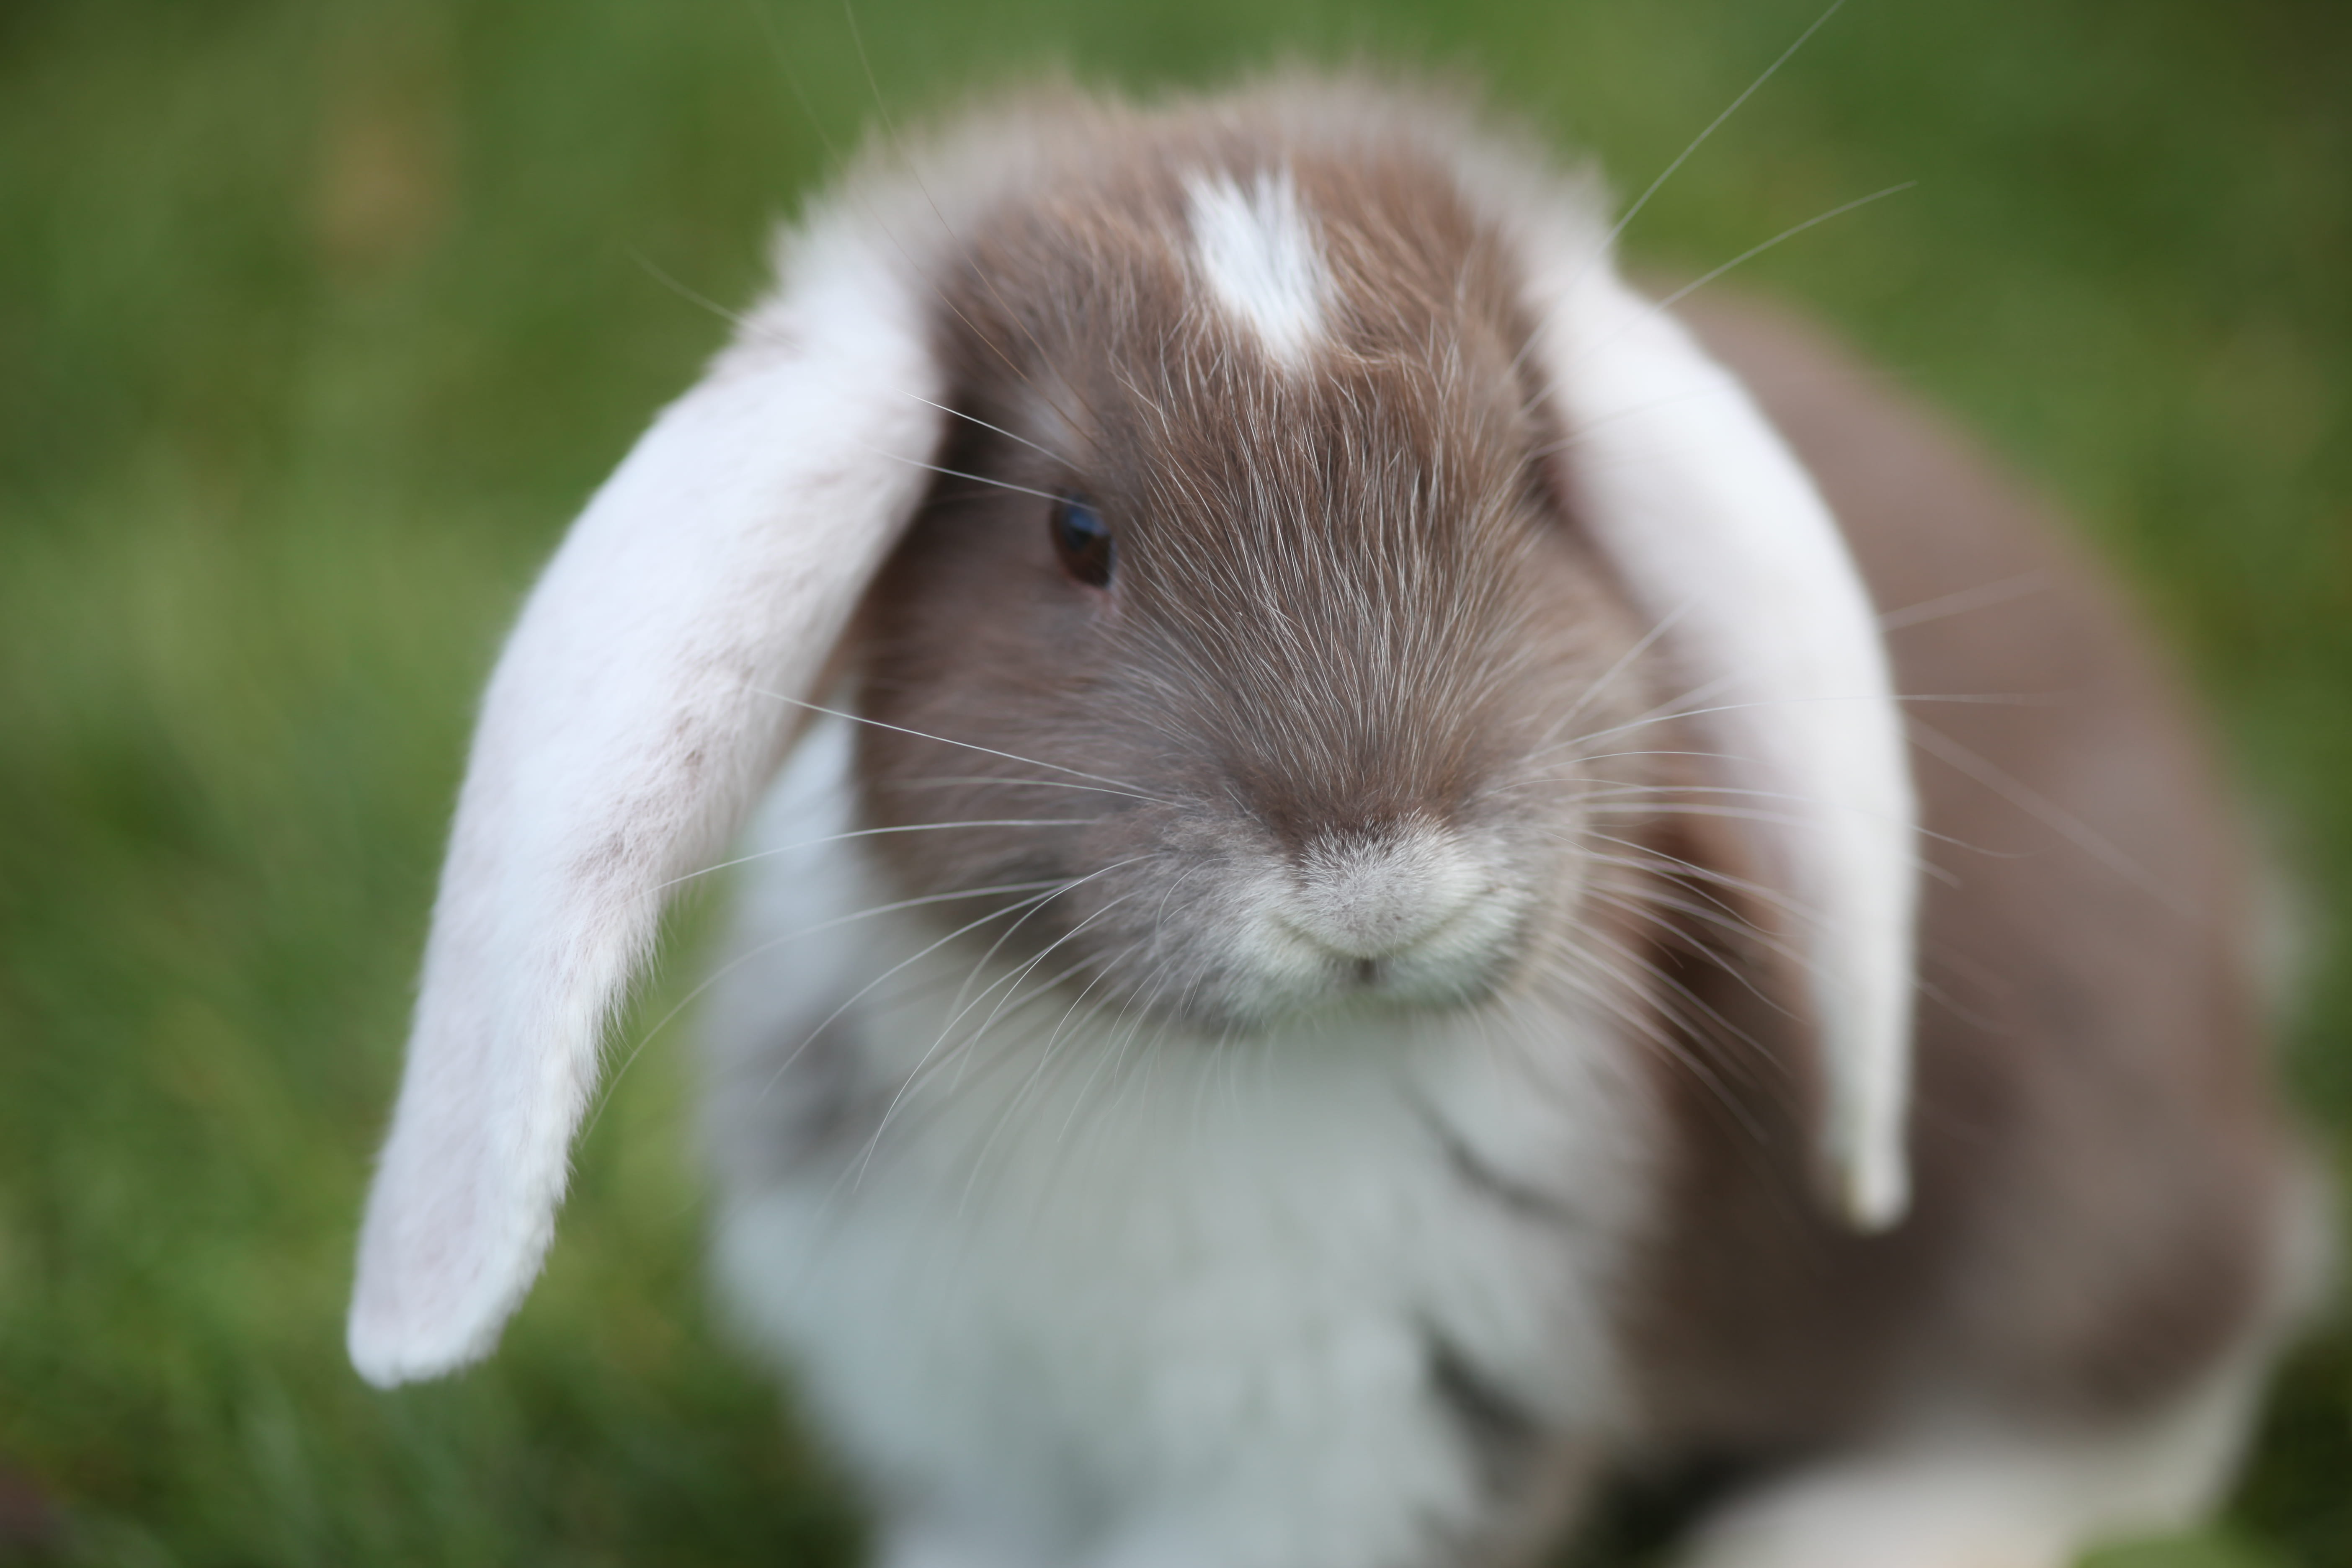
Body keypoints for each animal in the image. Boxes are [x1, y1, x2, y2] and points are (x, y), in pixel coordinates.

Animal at [343, 77, 2328, 1568]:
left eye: (1531, 489)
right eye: (1075, 534)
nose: (1378, 886)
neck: (1180, 1083)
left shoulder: (1376, 1443)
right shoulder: (968, 1435)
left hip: (2079, 1197)